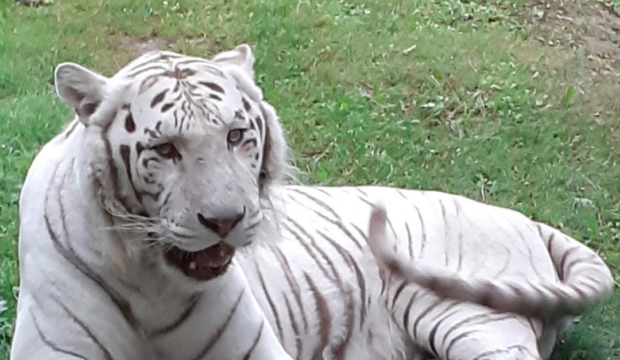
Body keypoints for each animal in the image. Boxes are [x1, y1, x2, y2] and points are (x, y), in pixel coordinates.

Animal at [10, 43, 616, 360]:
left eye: (235, 136)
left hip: (463, 315)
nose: (226, 220)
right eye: (165, 149)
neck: (150, 281)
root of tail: (529, 221)